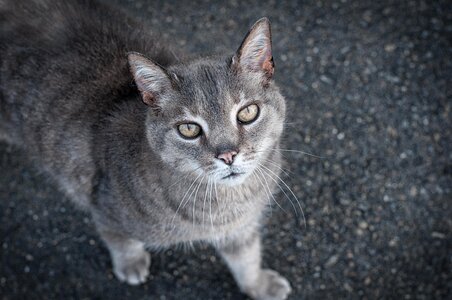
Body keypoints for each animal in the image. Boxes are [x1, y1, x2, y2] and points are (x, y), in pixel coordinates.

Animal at [0, 0, 294, 300]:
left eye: (247, 113)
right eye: (189, 129)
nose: (227, 155)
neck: (230, 204)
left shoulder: (241, 229)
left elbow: (246, 259)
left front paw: (259, 285)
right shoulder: (105, 211)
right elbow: (119, 241)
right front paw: (129, 263)